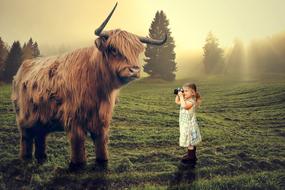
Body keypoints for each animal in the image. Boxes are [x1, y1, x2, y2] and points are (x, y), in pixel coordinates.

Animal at [11, 2, 166, 169]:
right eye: (113, 49)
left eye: (137, 51)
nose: (134, 70)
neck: (98, 87)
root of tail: (22, 67)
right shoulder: (74, 118)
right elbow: (78, 143)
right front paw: (77, 165)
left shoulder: (102, 119)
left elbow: (101, 141)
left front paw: (102, 162)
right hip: (24, 116)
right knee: (26, 137)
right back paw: (26, 158)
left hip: (42, 116)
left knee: (40, 136)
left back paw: (42, 158)